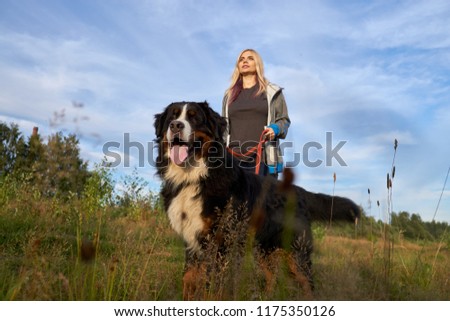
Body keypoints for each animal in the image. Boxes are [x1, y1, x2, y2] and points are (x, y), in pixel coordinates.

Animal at [153, 101, 360, 298]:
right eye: (172, 117)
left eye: (194, 117)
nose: (176, 125)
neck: (195, 177)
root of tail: (300, 192)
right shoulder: (191, 241)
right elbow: (188, 279)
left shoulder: (220, 242)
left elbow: (213, 286)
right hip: (264, 248)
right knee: (272, 278)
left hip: (296, 251)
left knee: (307, 284)